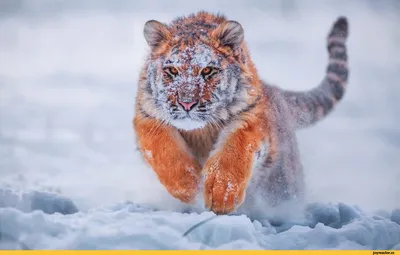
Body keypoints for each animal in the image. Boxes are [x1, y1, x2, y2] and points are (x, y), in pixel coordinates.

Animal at [133, 11, 348, 215]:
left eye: (207, 71)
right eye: (172, 70)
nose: (187, 103)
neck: (200, 131)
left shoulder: (250, 116)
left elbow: (234, 149)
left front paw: (221, 194)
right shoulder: (147, 116)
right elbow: (164, 150)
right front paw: (190, 186)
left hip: (284, 183)